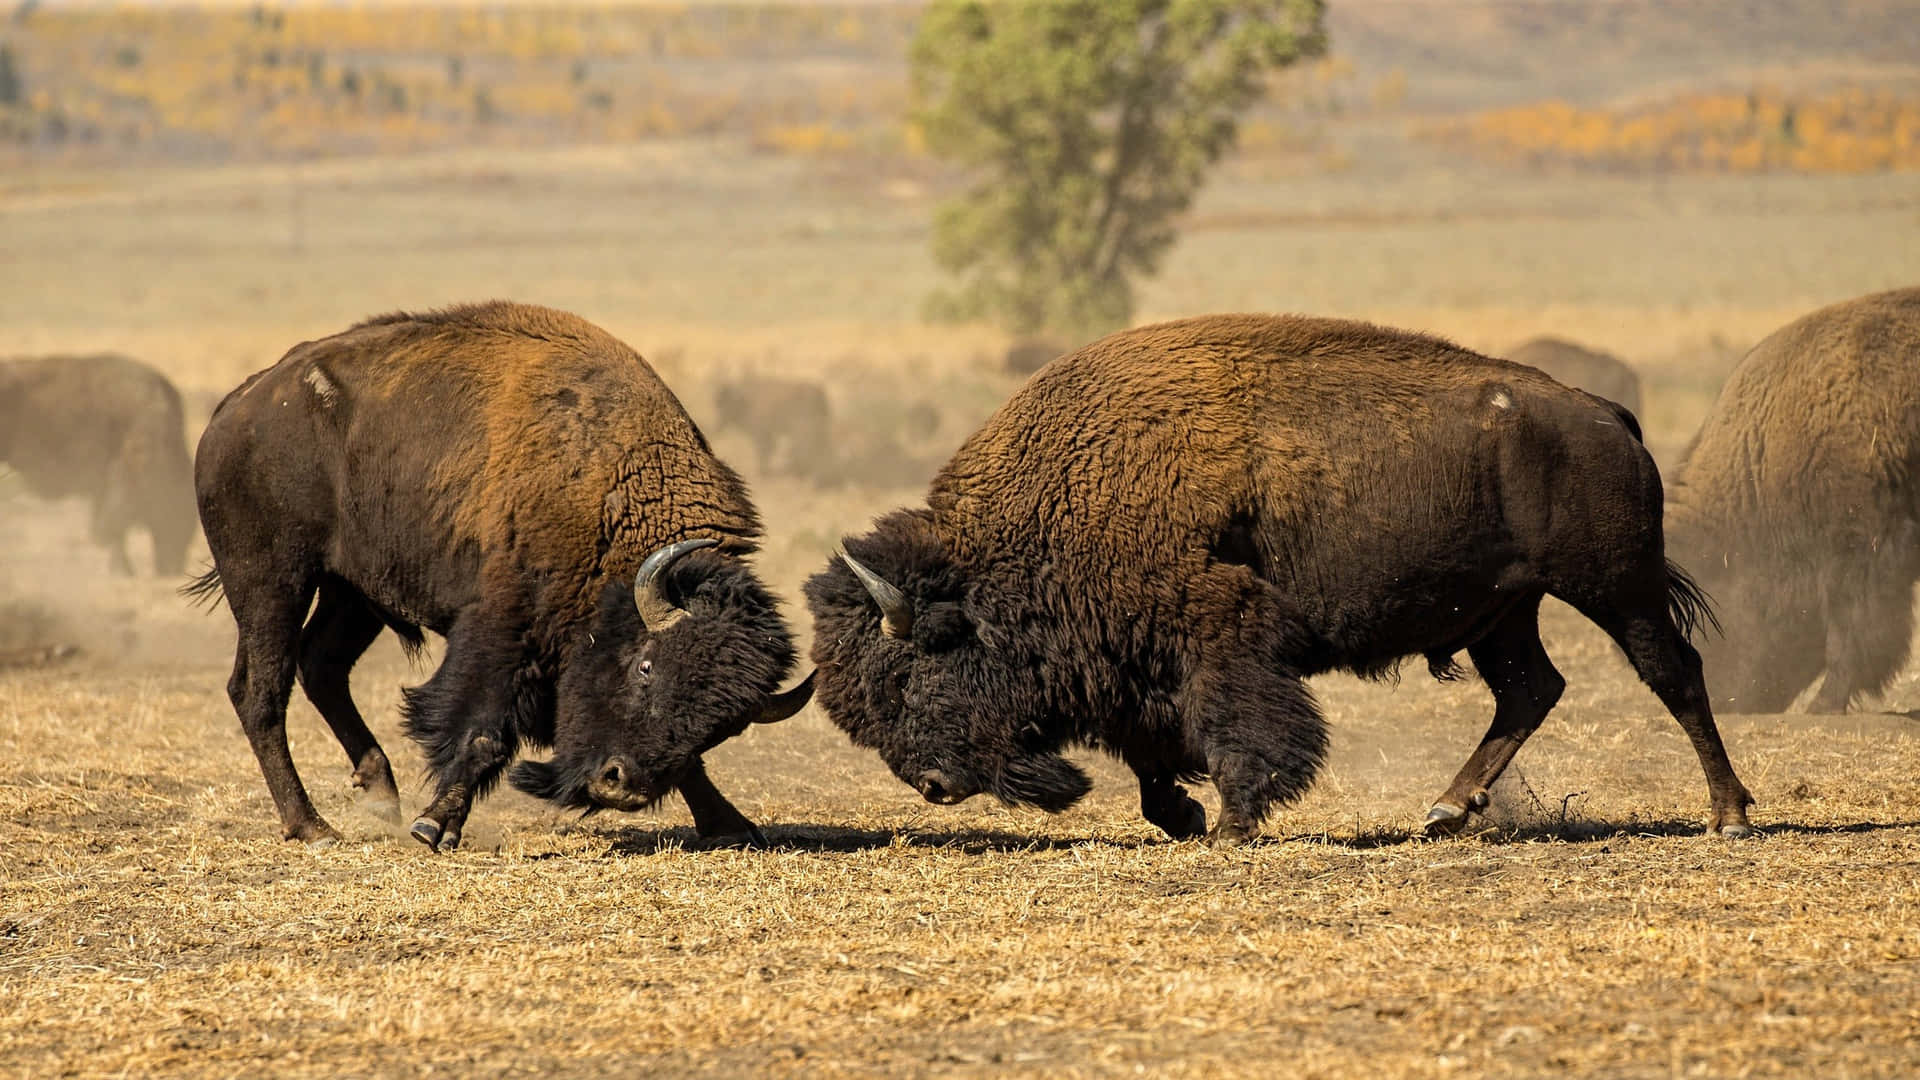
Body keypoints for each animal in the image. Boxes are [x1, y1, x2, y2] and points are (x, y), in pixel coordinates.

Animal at [194, 297, 817, 845]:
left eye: (723, 726)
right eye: (645, 666)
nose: (618, 786)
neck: (613, 492)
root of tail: (236, 409)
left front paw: (731, 824)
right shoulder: (502, 628)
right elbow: (482, 731)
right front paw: (434, 827)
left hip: (352, 593)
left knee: (320, 666)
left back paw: (379, 794)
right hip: (274, 581)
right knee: (259, 690)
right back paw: (313, 828)